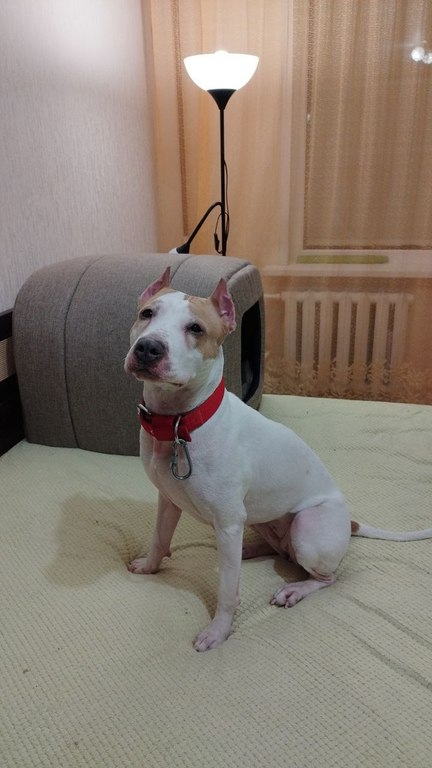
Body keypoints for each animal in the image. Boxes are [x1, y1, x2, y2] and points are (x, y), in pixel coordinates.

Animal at [124, 268, 432, 651]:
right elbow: (159, 539)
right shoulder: (169, 501)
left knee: (326, 577)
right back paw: (248, 550)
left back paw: (294, 589)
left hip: (306, 531)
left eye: (196, 328)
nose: (148, 347)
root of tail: (350, 523)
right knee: (272, 551)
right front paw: (149, 566)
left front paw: (218, 632)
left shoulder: (228, 520)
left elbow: (227, 591)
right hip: (259, 523)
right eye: (147, 313)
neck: (180, 422)